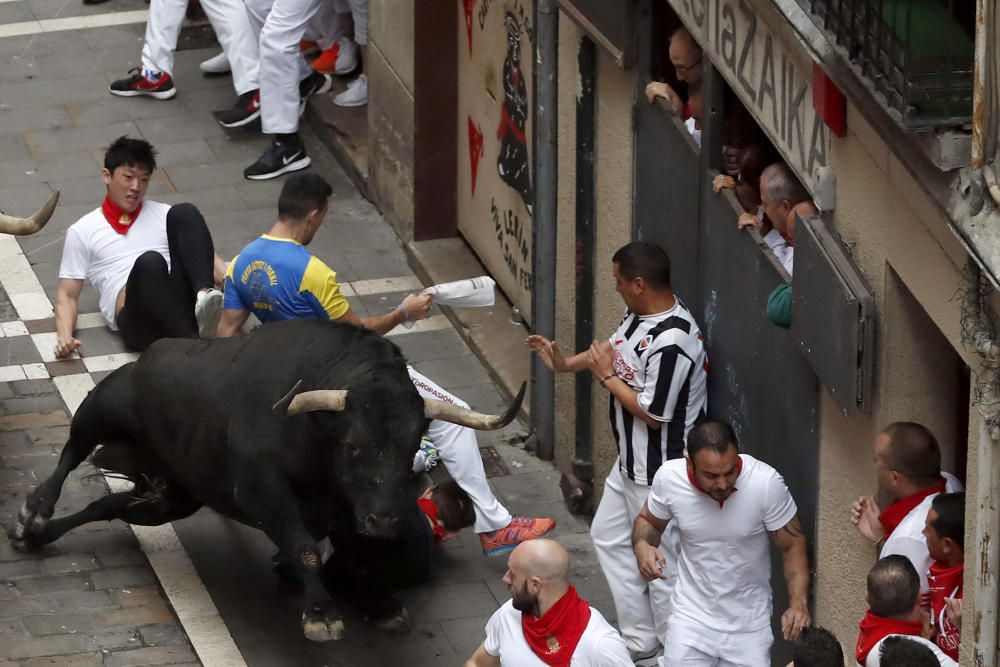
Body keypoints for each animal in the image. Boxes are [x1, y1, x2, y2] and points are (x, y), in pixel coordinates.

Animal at [9, 320, 524, 644]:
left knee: (108, 508)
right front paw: (320, 615)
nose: (385, 520)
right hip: (105, 404)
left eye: (412, 443)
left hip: (172, 497)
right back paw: (34, 510)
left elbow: (356, 555)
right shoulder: (264, 492)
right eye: (353, 445)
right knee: (72, 448)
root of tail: (151, 351)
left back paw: (38, 535)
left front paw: (379, 605)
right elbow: (304, 548)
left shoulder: (349, 512)